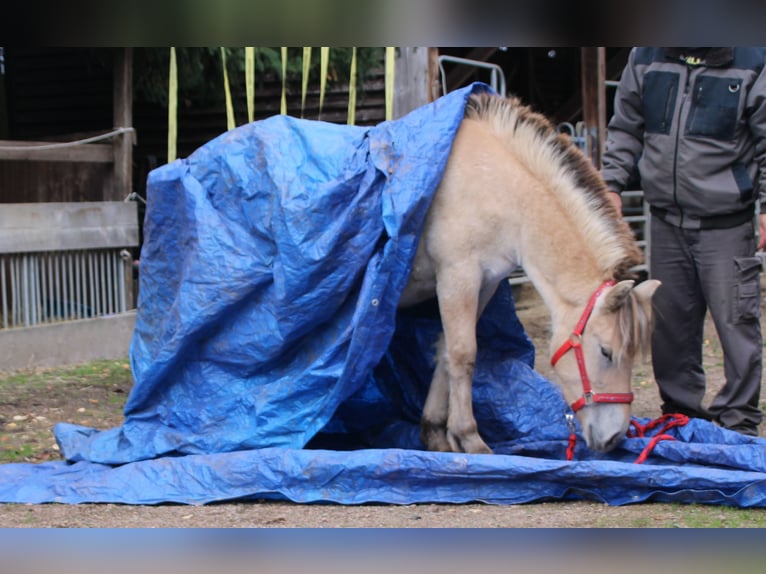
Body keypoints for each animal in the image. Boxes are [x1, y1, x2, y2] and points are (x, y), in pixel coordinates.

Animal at [400, 92, 664, 456]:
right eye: (606, 352)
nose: (614, 438)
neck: (495, 186)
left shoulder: (483, 283)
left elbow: (444, 351)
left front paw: (437, 434)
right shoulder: (457, 276)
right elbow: (463, 354)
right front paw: (470, 438)